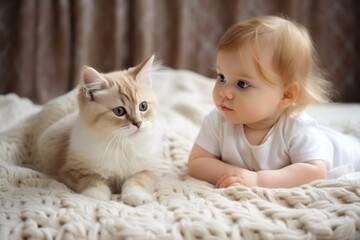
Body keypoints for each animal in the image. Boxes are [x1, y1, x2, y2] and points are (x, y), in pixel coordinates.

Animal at [57, 56, 162, 206]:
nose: (138, 123)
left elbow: (137, 180)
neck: (122, 144)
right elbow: (92, 180)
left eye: (143, 106)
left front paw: (136, 197)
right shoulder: (72, 171)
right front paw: (96, 196)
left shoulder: (149, 169)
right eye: (119, 111)